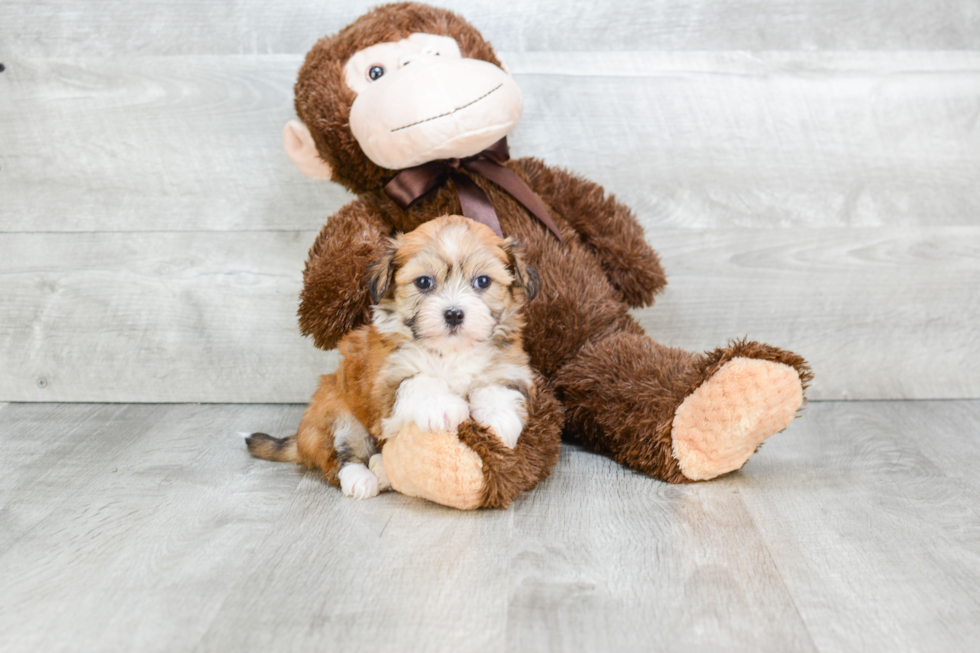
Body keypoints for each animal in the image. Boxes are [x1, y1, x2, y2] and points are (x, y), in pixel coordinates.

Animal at [245, 215, 536, 500]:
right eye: (424, 282)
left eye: (483, 281)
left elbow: (497, 387)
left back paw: (382, 470)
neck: (449, 351)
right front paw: (443, 406)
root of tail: (302, 439)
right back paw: (361, 480)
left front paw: (497, 420)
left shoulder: (508, 365)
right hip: (336, 414)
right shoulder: (384, 378)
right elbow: (418, 381)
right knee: (341, 457)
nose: (454, 314)